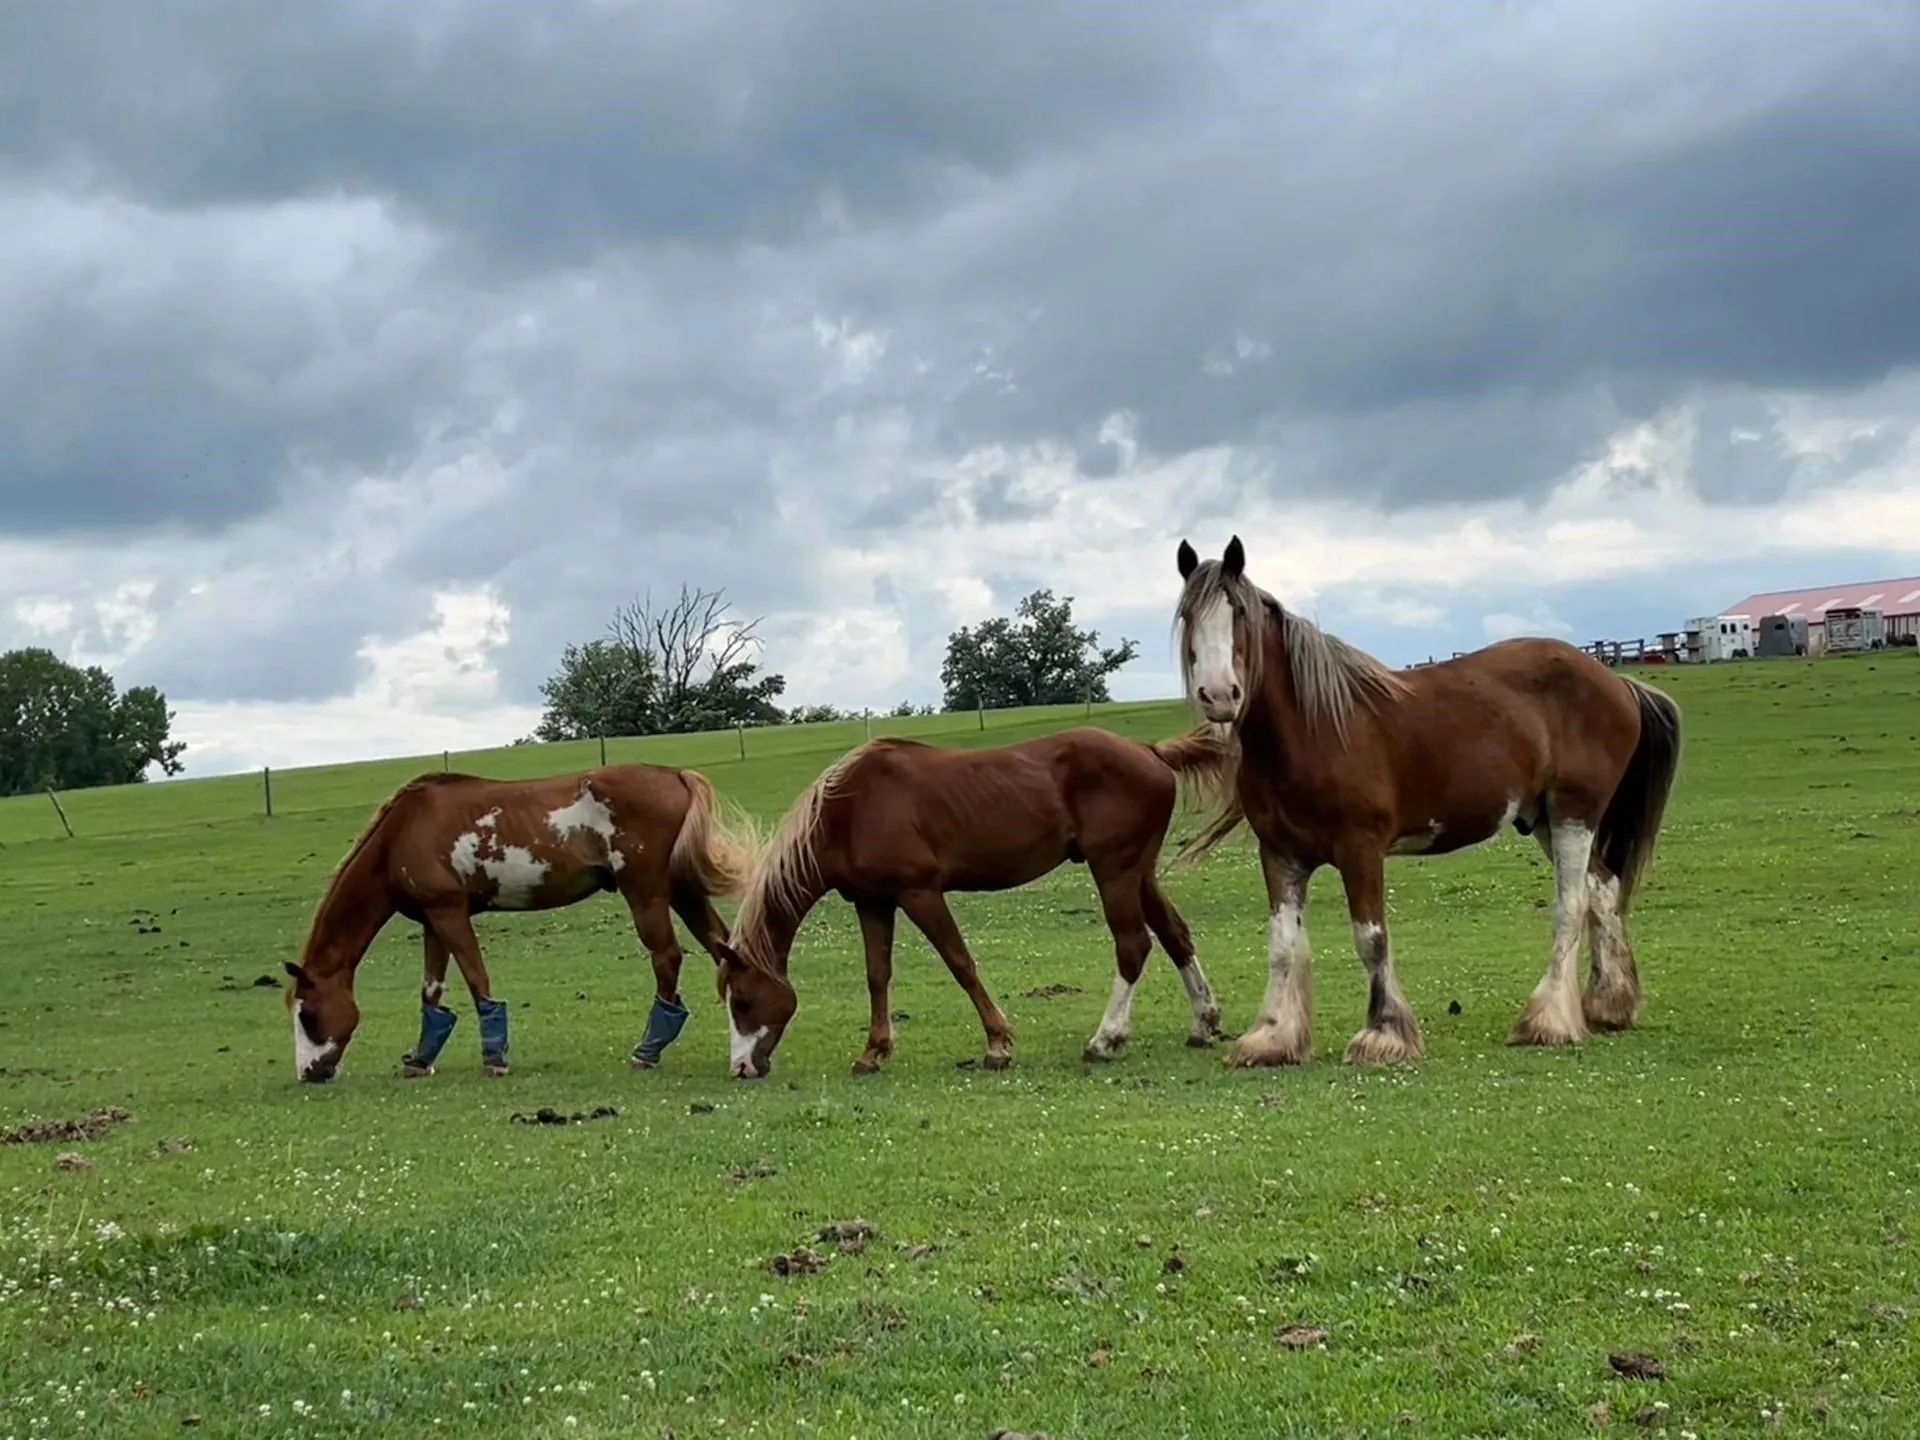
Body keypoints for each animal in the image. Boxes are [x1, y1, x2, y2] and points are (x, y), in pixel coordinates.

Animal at [281, 762, 762, 1083]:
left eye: (308, 1016)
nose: (310, 1072)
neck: (404, 832)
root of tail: (676, 774)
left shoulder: (450, 913)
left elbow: (477, 979)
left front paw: (495, 1057)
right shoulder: (433, 920)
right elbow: (432, 992)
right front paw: (420, 1059)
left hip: (646, 893)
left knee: (667, 957)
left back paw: (648, 1050)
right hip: (683, 891)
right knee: (723, 947)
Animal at [708, 724, 1238, 1079]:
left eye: (744, 1000)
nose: (741, 1067)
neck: (849, 810)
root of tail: (1149, 751)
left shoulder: (920, 894)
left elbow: (960, 963)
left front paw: (998, 1045)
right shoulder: (873, 903)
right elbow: (877, 975)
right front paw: (873, 1053)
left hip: (1115, 872)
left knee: (1133, 946)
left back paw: (1105, 1040)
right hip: (1139, 874)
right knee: (1174, 935)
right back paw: (1203, 1024)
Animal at [1169, 535, 1682, 1068]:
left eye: (1238, 613)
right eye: (1188, 615)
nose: (1219, 695)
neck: (1313, 730)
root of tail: (1616, 682)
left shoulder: (1360, 849)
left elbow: (1371, 939)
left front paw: (1384, 1033)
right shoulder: (1279, 855)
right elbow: (1283, 945)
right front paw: (1272, 1037)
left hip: (1573, 815)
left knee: (1573, 904)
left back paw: (1547, 1020)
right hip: (1545, 819)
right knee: (1603, 889)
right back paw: (1608, 1005)